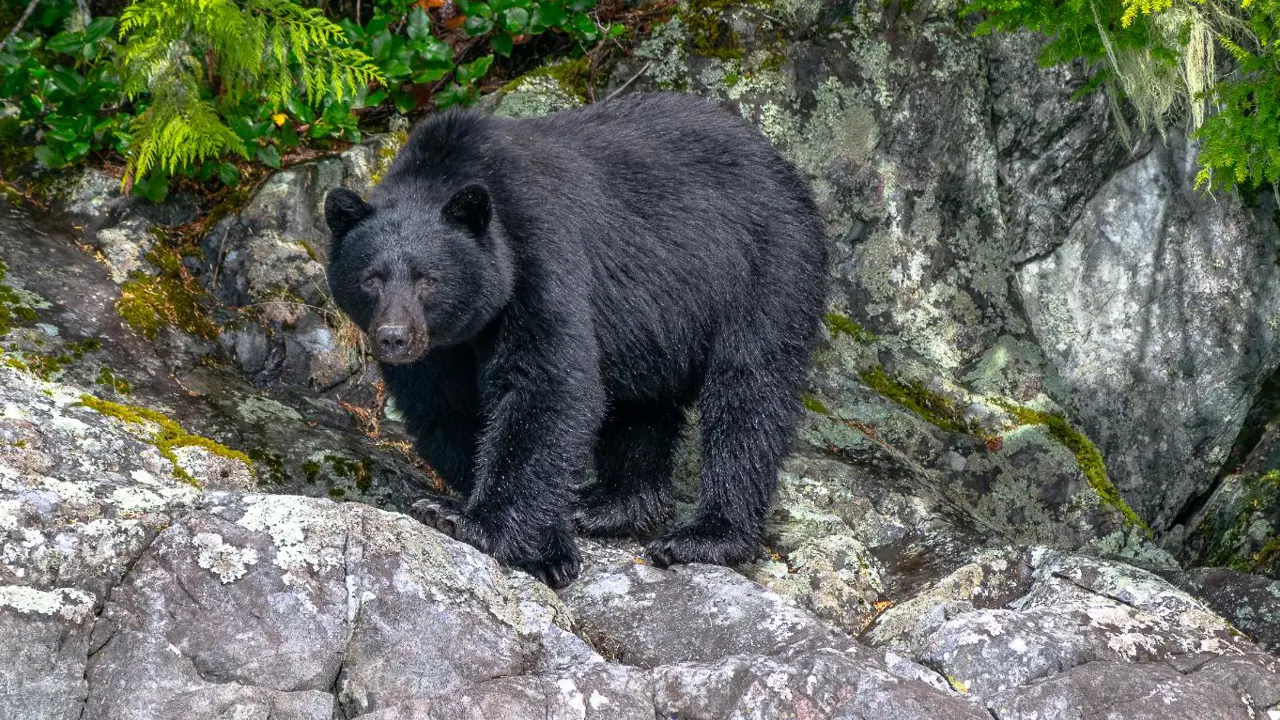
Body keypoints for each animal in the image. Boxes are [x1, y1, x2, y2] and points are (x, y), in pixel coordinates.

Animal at [324, 92, 828, 588]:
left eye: (429, 279)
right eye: (371, 278)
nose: (394, 338)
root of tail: (781, 165)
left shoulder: (538, 251)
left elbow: (548, 384)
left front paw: (468, 520)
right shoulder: (442, 349)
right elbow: (447, 408)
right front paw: (544, 543)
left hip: (764, 266)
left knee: (747, 393)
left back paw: (705, 535)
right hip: (652, 327)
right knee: (641, 407)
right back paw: (610, 506)